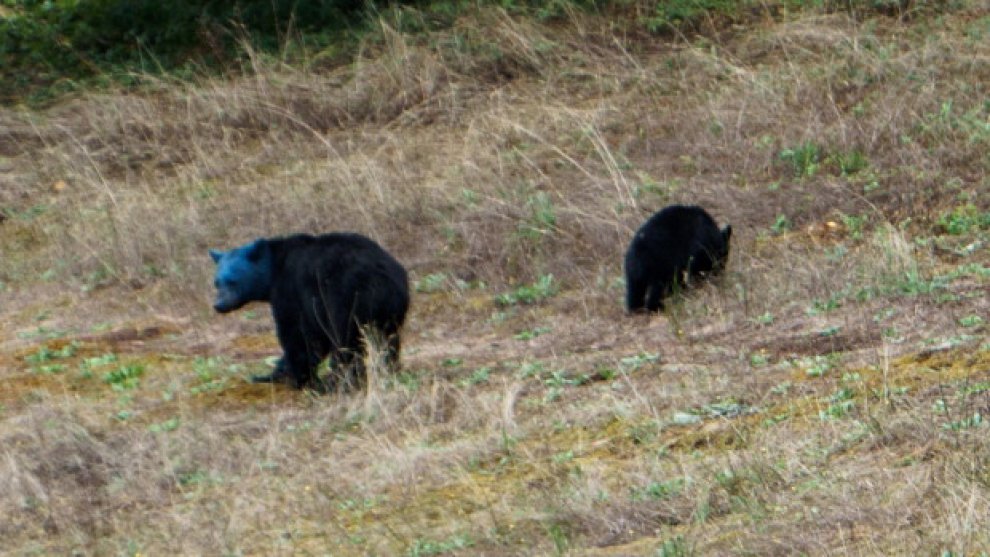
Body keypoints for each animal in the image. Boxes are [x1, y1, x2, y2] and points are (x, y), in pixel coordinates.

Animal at [210, 232, 410, 390]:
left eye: (232, 281)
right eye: (217, 282)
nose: (219, 305)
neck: (275, 269)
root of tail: (381, 278)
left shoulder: (292, 292)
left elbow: (297, 335)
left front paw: (299, 378)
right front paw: (268, 375)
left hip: (345, 300)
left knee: (346, 342)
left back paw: (339, 381)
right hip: (390, 309)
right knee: (387, 340)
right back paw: (388, 370)